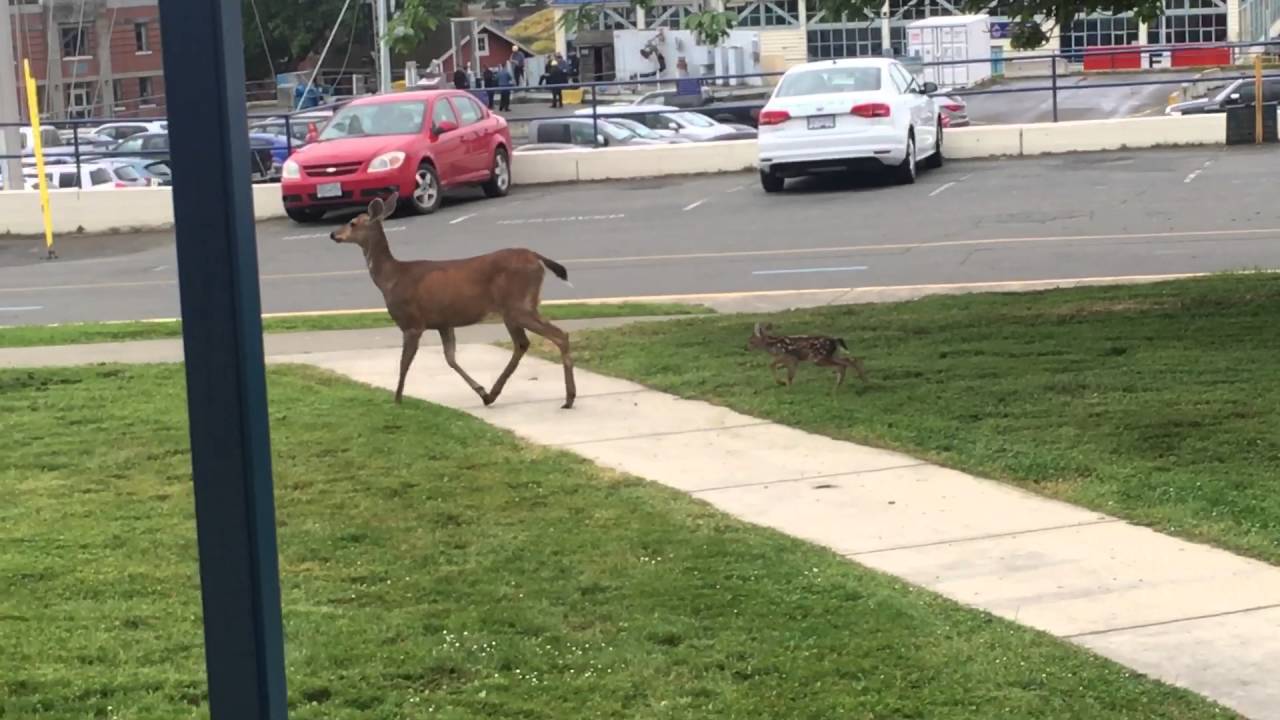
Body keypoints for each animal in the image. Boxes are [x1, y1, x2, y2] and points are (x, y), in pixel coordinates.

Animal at [330, 193, 577, 409]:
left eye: (352, 223)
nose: (333, 234)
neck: (391, 278)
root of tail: (537, 257)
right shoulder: (443, 322)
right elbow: (450, 359)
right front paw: (481, 391)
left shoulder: (412, 322)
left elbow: (404, 363)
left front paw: (397, 400)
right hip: (515, 309)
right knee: (523, 343)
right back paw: (494, 394)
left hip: (518, 305)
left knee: (558, 335)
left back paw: (568, 398)